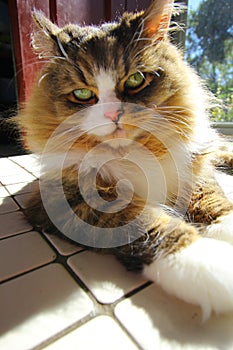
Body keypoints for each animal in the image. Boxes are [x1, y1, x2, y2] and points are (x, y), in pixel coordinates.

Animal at [19, 0, 233, 320]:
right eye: (82, 93)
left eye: (135, 80)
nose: (112, 114)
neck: (133, 152)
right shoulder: (64, 198)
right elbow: (144, 223)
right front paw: (206, 263)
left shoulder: (192, 167)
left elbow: (213, 201)